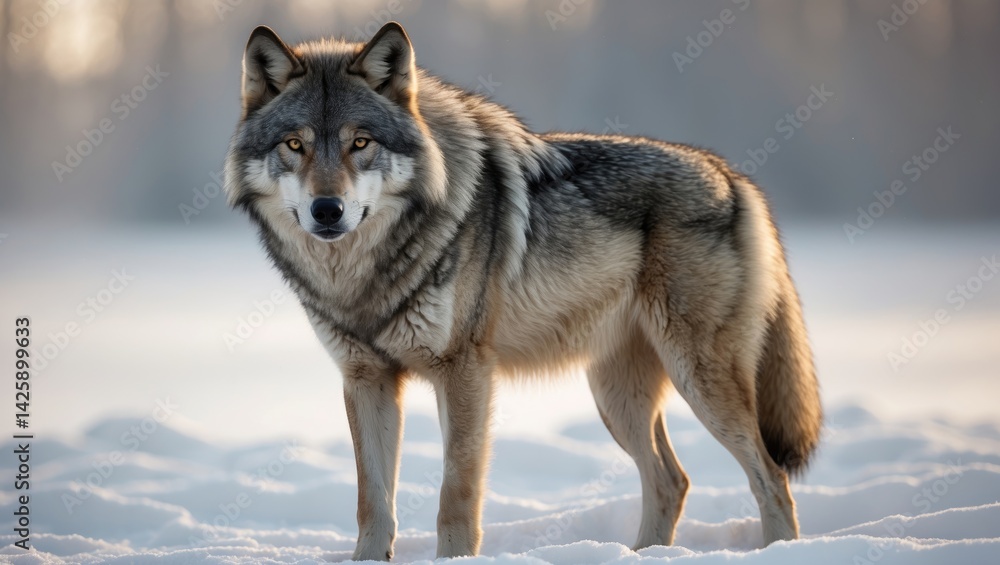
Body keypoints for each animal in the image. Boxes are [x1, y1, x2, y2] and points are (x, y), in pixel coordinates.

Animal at [224, 21, 822, 561]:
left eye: (360, 143)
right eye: (295, 145)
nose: (327, 210)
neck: (362, 275)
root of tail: (731, 174)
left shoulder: (465, 372)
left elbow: (456, 497)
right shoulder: (365, 379)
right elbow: (373, 504)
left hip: (699, 380)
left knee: (771, 479)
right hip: (617, 398)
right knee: (673, 481)